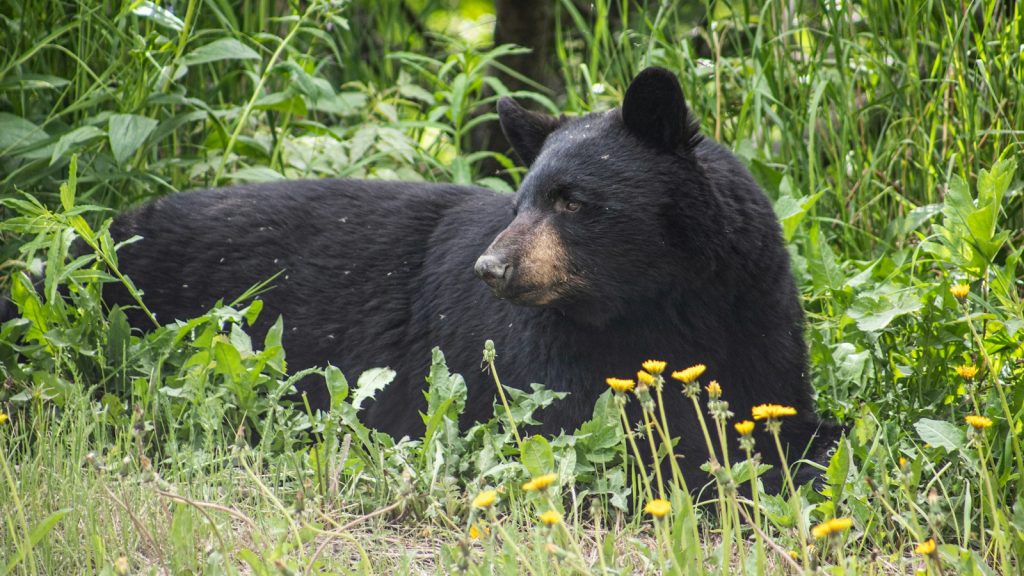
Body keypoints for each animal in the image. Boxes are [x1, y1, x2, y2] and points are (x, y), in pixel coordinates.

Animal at [12, 67, 837, 490]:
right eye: (522, 197)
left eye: (572, 200)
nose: (492, 268)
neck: (659, 305)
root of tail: (83, 241)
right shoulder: (536, 358)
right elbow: (589, 432)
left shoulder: (754, 308)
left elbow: (779, 411)